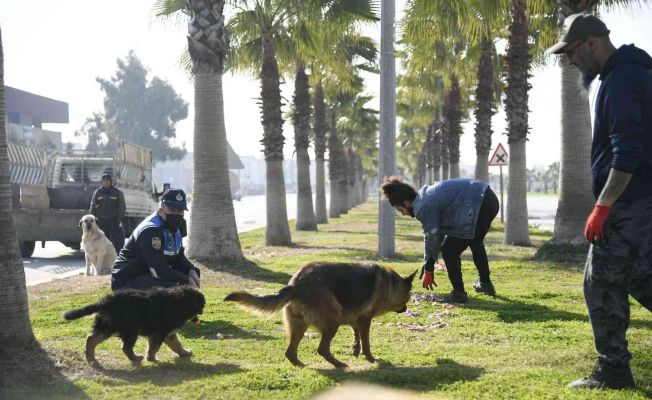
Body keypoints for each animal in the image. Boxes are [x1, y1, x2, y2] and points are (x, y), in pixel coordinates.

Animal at [62, 288, 204, 366]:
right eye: (201, 305)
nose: (202, 312)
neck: (180, 301)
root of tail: (106, 301)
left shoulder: (168, 333)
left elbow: (177, 345)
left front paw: (185, 353)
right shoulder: (159, 332)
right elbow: (154, 347)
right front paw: (151, 358)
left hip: (107, 326)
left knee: (91, 339)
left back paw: (90, 358)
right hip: (130, 330)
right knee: (126, 347)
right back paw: (136, 358)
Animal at [227, 262, 416, 368]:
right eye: (408, 296)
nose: (406, 308)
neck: (390, 284)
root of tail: (296, 284)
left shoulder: (354, 317)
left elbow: (356, 334)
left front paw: (355, 349)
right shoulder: (365, 319)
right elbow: (366, 342)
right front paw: (370, 358)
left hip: (299, 326)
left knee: (290, 352)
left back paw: (301, 365)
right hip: (333, 320)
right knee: (322, 348)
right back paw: (339, 365)